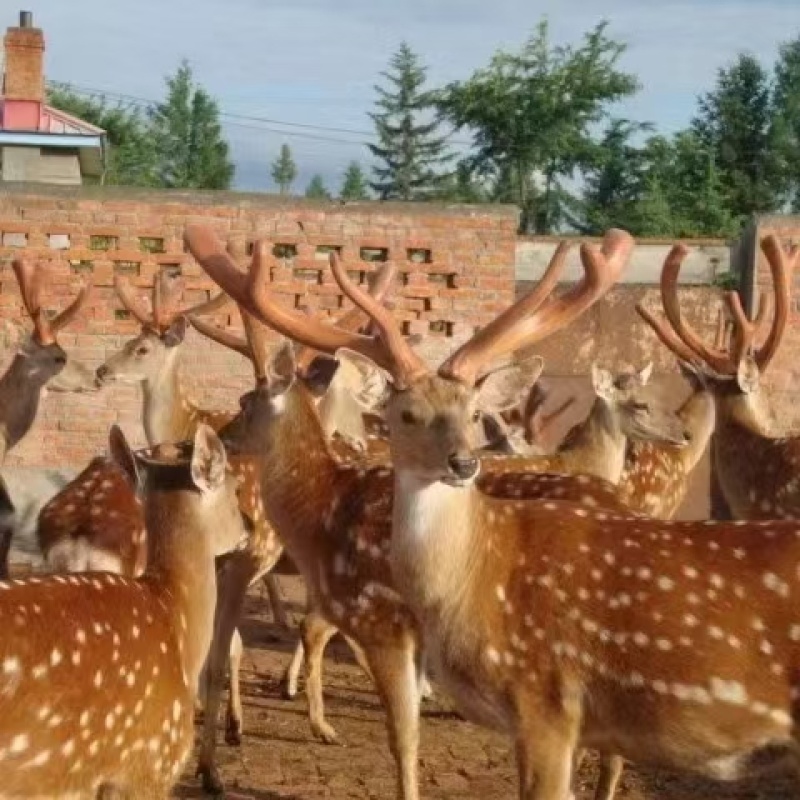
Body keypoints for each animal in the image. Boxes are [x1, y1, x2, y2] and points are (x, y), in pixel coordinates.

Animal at [183, 222, 644, 796]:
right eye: (408, 413)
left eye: (246, 403)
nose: (221, 434)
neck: (321, 511)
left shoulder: (379, 616)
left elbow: (402, 736)